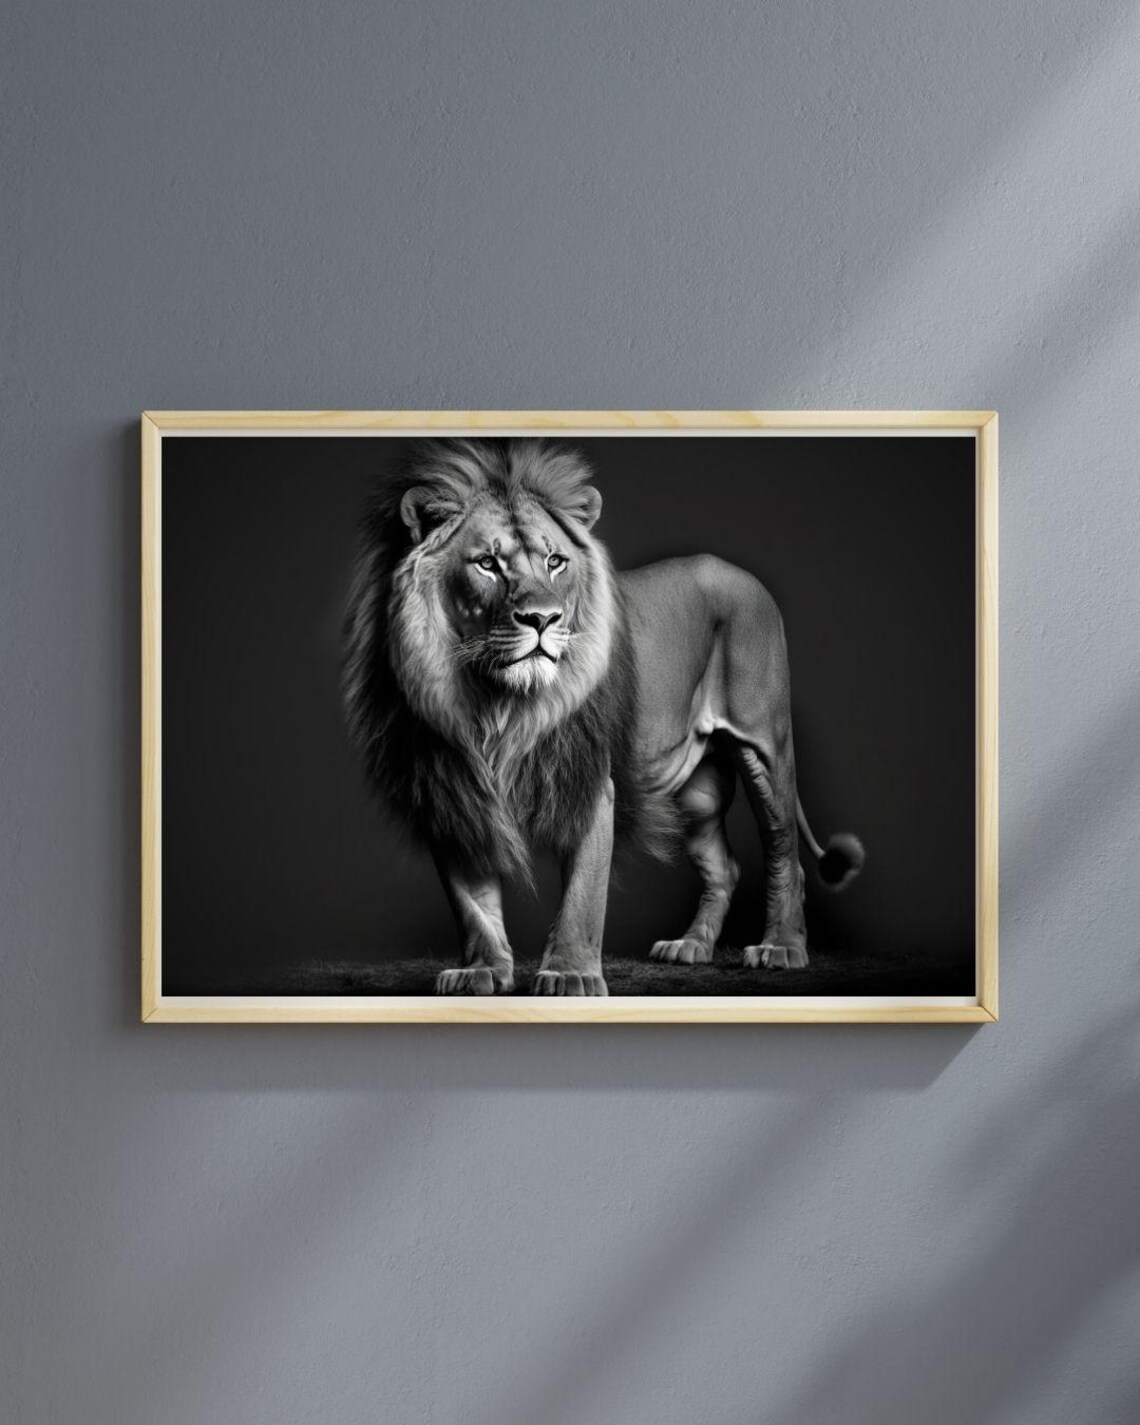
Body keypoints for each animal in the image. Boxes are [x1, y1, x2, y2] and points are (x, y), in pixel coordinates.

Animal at [343, 437, 863, 996]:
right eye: (486, 563)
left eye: (555, 561)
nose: (543, 618)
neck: (495, 704)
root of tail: (737, 571)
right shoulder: (449, 786)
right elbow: (472, 902)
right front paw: (482, 971)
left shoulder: (590, 778)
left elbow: (583, 895)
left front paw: (569, 975)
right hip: (694, 791)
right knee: (725, 866)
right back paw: (691, 946)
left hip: (763, 744)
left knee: (785, 851)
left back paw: (781, 948)